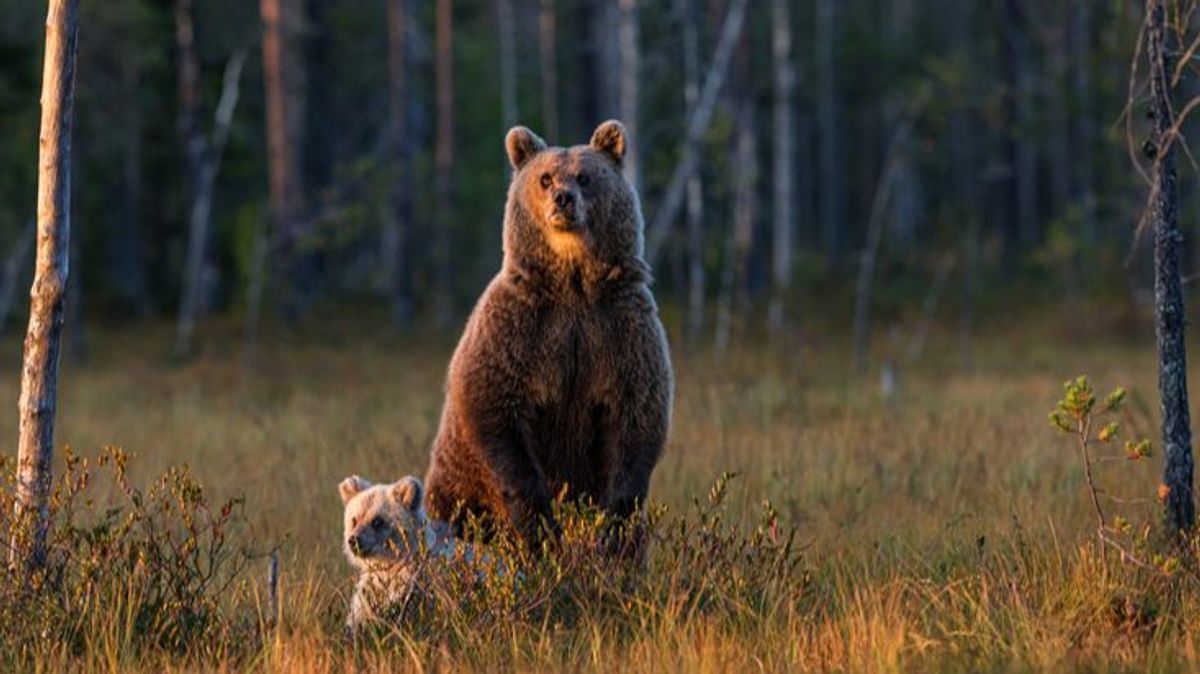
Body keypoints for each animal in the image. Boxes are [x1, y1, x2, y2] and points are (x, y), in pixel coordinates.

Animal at [422, 120, 672, 546]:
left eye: (585, 176)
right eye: (544, 177)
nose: (563, 199)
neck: (572, 283)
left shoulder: (619, 329)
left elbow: (636, 412)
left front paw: (611, 525)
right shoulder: (520, 328)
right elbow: (493, 404)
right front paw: (539, 522)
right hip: (455, 484)